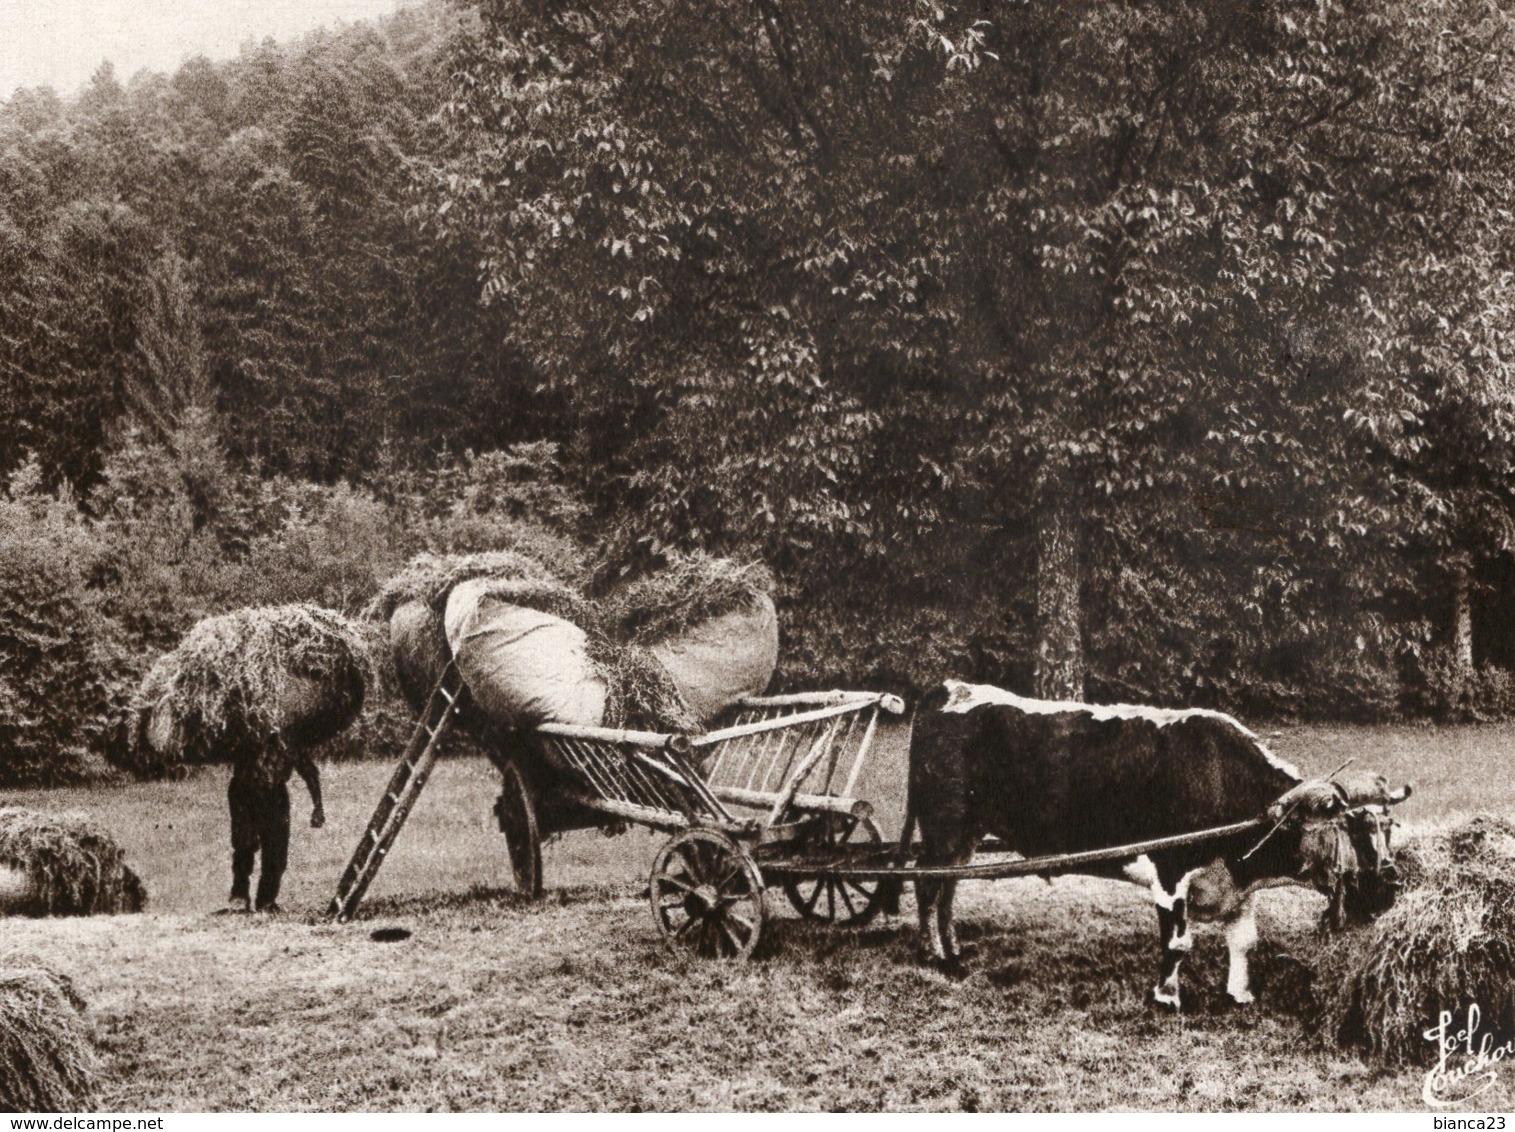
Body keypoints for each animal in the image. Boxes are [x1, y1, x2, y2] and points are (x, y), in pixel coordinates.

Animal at [902, 681, 1411, 1012]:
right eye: (1359, 831)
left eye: (1390, 829)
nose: (1392, 886)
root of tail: (947, 688)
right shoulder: (1171, 873)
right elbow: (1177, 942)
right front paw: (1166, 995)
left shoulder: (1238, 883)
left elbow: (1244, 940)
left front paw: (1239, 993)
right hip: (944, 828)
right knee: (928, 886)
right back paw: (934, 956)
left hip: (965, 836)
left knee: (948, 890)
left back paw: (953, 950)